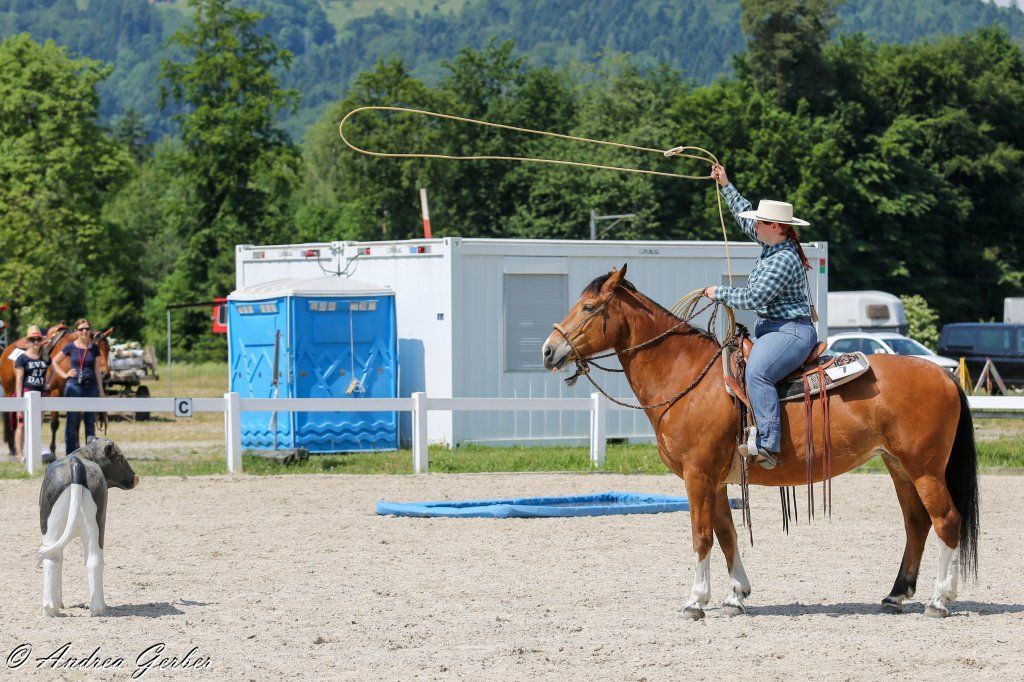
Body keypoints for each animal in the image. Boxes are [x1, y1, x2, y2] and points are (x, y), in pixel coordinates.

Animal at [2, 325, 111, 456]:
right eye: (97, 349)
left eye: (109, 349)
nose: (105, 374)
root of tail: (6, 351)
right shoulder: (55, 394)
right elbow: (55, 424)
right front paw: (53, 450)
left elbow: (76, 424)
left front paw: (76, 448)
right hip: (9, 392)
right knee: (10, 418)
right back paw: (12, 448)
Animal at [542, 265, 979, 619]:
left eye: (588, 308)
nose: (549, 350)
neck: (687, 377)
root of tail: (942, 375)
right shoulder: (717, 480)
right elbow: (726, 533)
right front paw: (736, 595)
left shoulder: (698, 476)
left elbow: (701, 534)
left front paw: (695, 601)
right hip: (899, 466)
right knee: (917, 522)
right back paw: (896, 595)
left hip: (925, 469)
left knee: (947, 520)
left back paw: (940, 601)